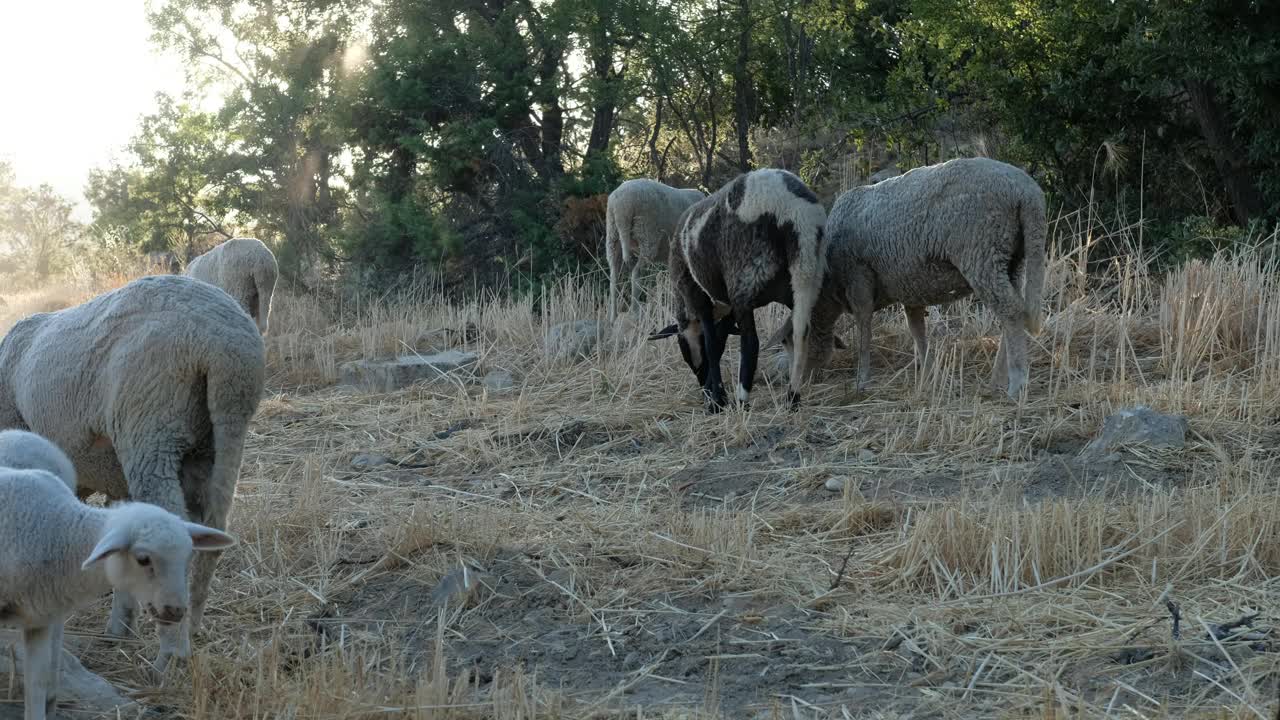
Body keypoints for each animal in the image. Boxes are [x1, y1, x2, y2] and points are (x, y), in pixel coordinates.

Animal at [0, 272, 264, 666]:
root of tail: (222, 347)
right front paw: (121, 624)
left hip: (151, 417)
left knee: (170, 516)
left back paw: (172, 650)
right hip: (222, 430)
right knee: (211, 521)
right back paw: (191, 625)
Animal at [1, 427, 236, 712]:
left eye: (188, 554)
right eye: (143, 559)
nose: (176, 611)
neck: (61, 529)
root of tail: (17, 432)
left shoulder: (39, 621)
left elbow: (36, 688)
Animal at [604, 176, 706, 319]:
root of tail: (622, 206)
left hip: (612, 235)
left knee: (614, 277)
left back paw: (613, 316)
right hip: (647, 234)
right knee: (636, 273)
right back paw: (635, 312)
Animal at [650, 166, 829, 409]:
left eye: (683, 349)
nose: (701, 384)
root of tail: (792, 210)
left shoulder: (699, 297)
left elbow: (712, 346)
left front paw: (716, 399)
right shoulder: (728, 307)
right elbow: (720, 341)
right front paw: (715, 393)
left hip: (746, 279)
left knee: (751, 343)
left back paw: (743, 399)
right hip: (806, 274)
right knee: (802, 332)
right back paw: (792, 397)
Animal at [762, 155, 1044, 397]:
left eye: (787, 341)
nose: (790, 382)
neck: (829, 286)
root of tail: (1027, 191)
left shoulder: (858, 279)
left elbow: (864, 330)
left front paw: (861, 380)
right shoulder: (910, 288)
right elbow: (917, 330)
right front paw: (928, 373)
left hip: (981, 251)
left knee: (1011, 312)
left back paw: (1015, 383)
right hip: (1011, 258)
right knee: (1014, 313)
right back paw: (997, 380)